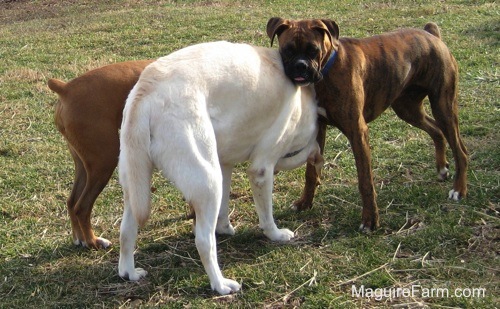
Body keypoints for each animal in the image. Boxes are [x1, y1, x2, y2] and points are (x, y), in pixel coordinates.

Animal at [50, 60, 154, 248]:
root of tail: (66, 88)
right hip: (105, 160)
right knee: (82, 207)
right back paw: (93, 241)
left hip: (85, 164)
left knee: (72, 202)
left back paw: (80, 239)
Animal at [118, 41, 322, 294]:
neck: (302, 107)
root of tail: (147, 90)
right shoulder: (261, 170)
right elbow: (266, 215)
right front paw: (275, 234)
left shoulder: (224, 165)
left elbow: (225, 204)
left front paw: (225, 227)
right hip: (208, 182)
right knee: (204, 242)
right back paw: (220, 284)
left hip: (138, 185)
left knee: (126, 231)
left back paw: (129, 272)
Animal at [268, 16, 466, 229]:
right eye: (287, 50)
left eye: (313, 50)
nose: (301, 66)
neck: (327, 69)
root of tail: (431, 34)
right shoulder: (318, 129)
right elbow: (311, 172)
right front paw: (305, 203)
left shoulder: (358, 131)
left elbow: (365, 181)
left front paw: (370, 220)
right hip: (408, 109)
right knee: (436, 130)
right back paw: (442, 168)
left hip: (443, 107)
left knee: (460, 150)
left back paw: (459, 189)